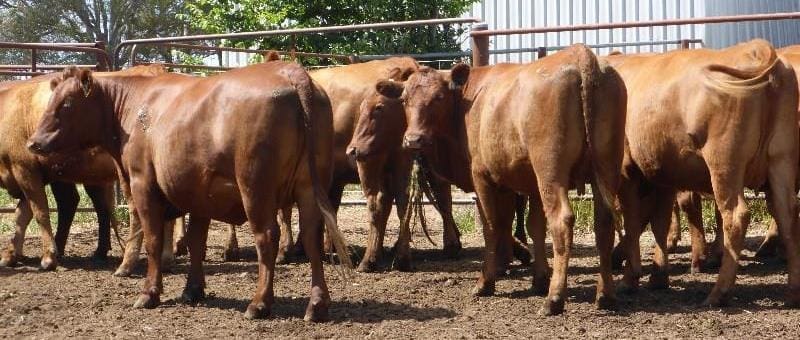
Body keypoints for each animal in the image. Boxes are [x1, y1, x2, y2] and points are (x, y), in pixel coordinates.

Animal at [28, 61, 350, 322]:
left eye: (67, 104)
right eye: (52, 100)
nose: (33, 142)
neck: (133, 107)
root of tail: (293, 72)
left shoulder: (143, 185)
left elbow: (154, 240)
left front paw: (149, 293)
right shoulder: (199, 193)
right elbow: (196, 241)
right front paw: (192, 290)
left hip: (255, 186)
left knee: (266, 237)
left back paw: (258, 304)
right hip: (309, 186)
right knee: (311, 236)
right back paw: (316, 306)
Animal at [390, 43, 628, 314]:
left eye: (438, 97)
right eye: (404, 100)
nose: (413, 139)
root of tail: (580, 54)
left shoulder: (483, 177)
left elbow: (492, 226)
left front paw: (486, 282)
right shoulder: (525, 184)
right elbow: (533, 227)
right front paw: (539, 278)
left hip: (551, 171)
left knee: (561, 221)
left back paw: (554, 299)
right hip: (606, 168)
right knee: (604, 223)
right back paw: (605, 295)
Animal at [608, 38, 800, 306]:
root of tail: (757, 49)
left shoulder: (628, 170)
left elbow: (635, 221)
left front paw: (630, 278)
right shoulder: (662, 174)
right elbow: (659, 221)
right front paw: (658, 276)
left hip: (724, 163)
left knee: (735, 215)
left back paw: (719, 292)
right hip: (781, 159)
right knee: (787, 213)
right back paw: (792, 291)